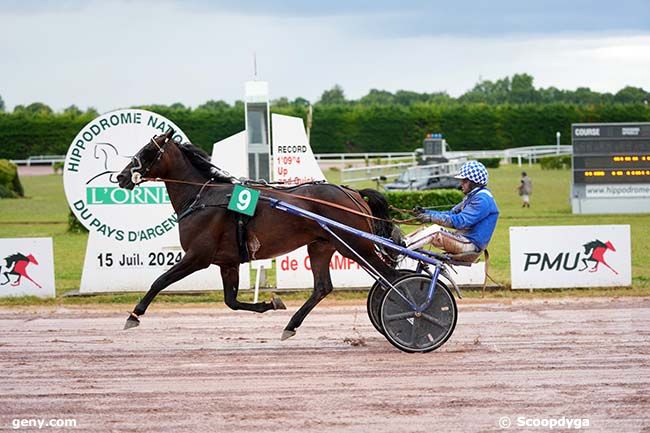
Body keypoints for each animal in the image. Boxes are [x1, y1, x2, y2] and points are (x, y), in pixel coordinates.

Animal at [117, 130, 400, 340]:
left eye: (146, 151)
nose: (121, 176)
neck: (202, 196)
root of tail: (351, 192)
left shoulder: (198, 256)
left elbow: (160, 281)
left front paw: (134, 315)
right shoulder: (227, 262)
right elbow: (231, 301)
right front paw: (271, 304)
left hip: (355, 244)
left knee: (391, 278)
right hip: (322, 245)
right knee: (322, 287)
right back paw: (291, 325)